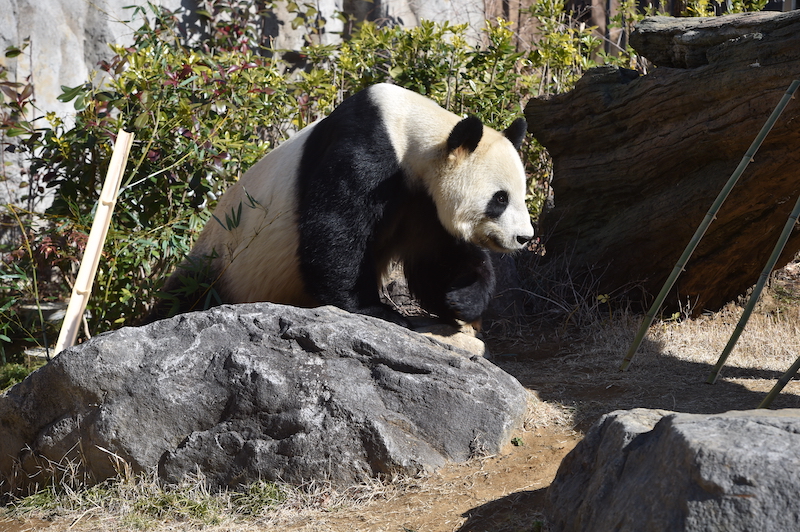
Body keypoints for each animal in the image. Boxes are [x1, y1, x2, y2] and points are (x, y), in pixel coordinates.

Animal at [152, 83, 536, 326]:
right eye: (500, 199)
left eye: (521, 195)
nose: (523, 238)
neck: (420, 130)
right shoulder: (368, 150)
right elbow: (335, 227)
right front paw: (372, 308)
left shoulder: (422, 201)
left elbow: (437, 255)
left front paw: (461, 298)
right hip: (220, 260)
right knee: (184, 296)